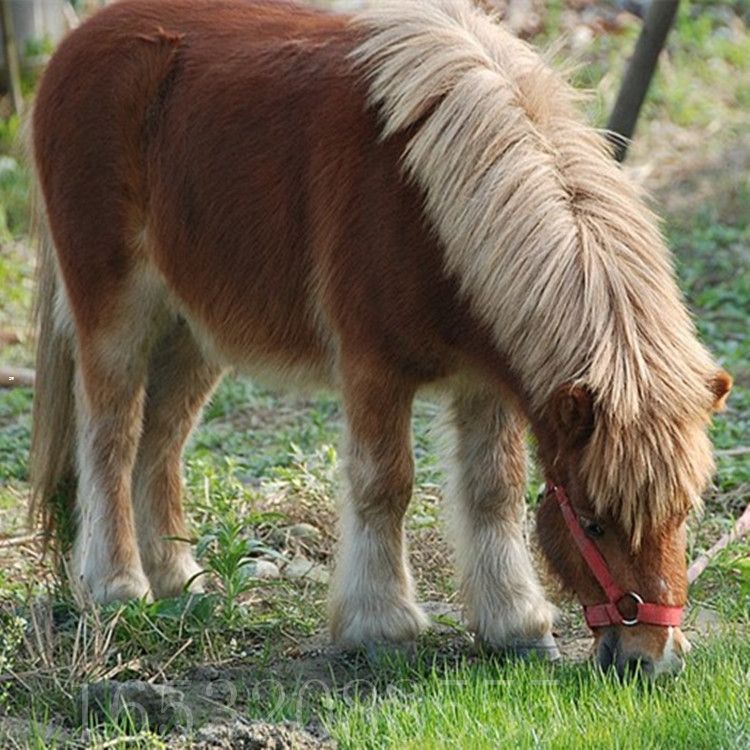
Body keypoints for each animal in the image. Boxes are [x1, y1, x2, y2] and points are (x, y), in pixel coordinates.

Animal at [27, 0, 728, 680]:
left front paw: (516, 626)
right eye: (592, 522)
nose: (651, 660)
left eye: (684, 513)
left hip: (195, 331)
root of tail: (76, 43)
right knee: (112, 439)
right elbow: (384, 486)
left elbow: (494, 490)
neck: (431, 205)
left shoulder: (487, 381)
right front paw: (382, 628)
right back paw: (118, 587)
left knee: (161, 443)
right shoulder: (373, 372)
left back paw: (181, 582)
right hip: (115, 314)